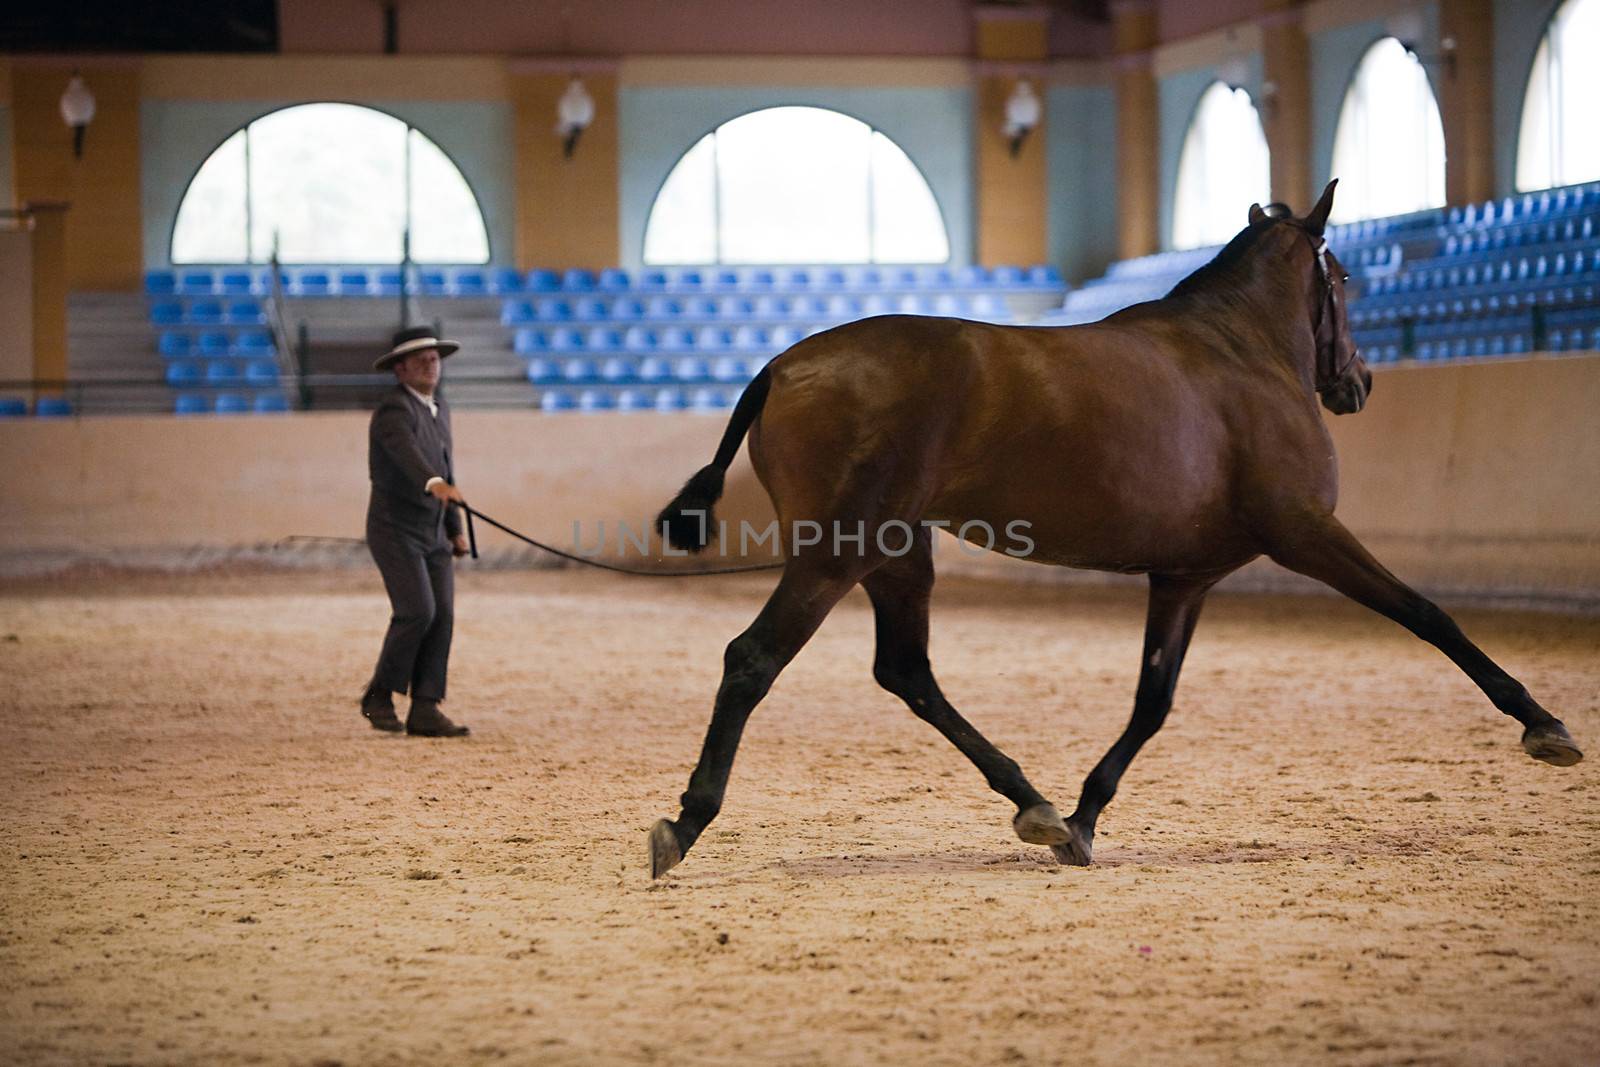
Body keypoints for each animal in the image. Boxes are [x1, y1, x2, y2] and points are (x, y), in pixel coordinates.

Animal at [643, 183, 1580, 883]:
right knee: (755, 658)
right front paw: (1544, 726)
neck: (1239, 354)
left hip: (896, 555)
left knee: (906, 671)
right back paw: (686, 823)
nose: (1359, 383)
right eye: (1343, 277)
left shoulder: (1186, 576)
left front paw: (1087, 817)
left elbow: (1152, 700)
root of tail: (780, 366)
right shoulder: (1306, 531)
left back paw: (1036, 806)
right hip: (841, 551)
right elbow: (1429, 615)